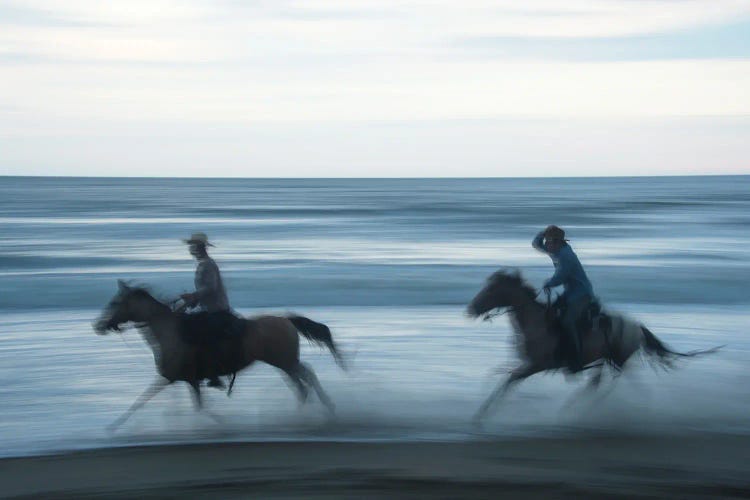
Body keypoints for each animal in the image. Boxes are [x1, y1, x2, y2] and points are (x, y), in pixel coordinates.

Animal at [93, 282, 346, 430]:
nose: (99, 326)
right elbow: (194, 405)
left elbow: (145, 399)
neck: (170, 332)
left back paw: (327, 408)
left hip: (285, 361)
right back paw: (304, 413)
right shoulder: (186, 380)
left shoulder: (173, 378)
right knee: (301, 384)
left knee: (307, 377)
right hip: (283, 363)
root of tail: (287, 320)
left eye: (116, 302)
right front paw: (114, 425)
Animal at [468, 272, 720, 424]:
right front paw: (481, 409)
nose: (471, 309)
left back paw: (575, 410)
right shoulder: (524, 362)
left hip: (618, 360)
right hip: (605, 359)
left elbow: (508, 381)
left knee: (607, 385)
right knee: (597, 382)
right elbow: (497, 374)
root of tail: (637, 327)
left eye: (491, 291)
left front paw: (481, 415)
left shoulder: (536, 366)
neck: (535, 322)